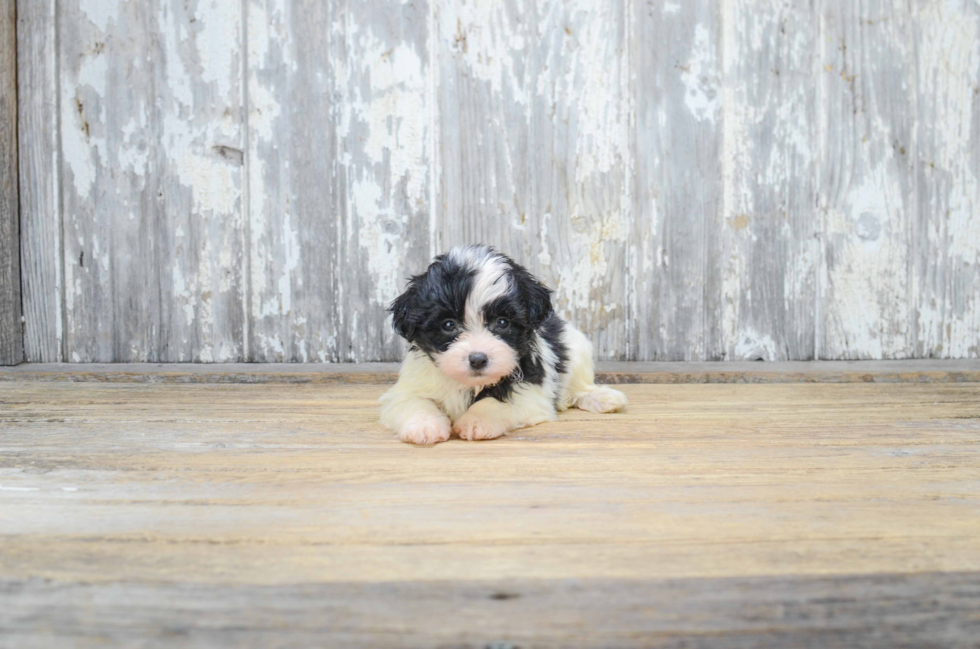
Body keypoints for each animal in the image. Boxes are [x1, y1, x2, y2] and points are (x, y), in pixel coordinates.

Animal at [378, 244, 624, 446]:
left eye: (502, 322)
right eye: (448, 325)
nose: (478, 359)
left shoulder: (530, 390)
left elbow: (497, 402)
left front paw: (477, 420)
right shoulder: (412, 384)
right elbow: (413, 401)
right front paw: (424, 426)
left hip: (577, 349)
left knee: (577, 387)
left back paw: (602, 398)